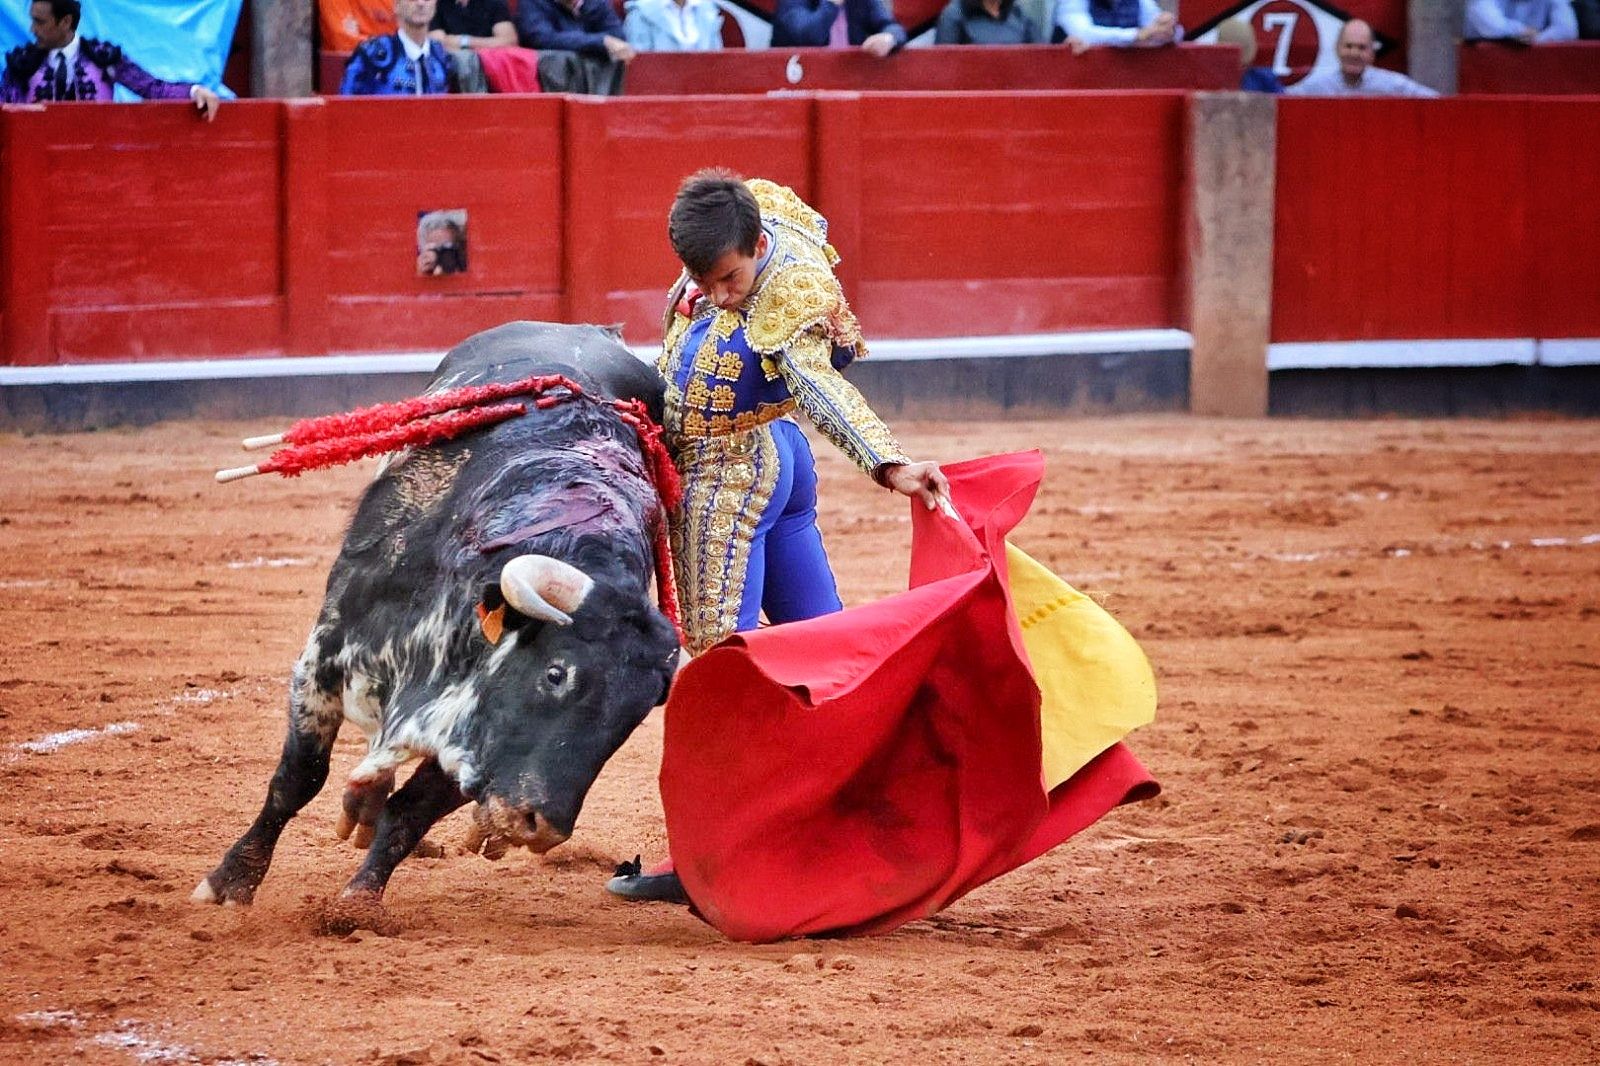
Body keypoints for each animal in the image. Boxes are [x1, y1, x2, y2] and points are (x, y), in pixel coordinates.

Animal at [195, 320, 681, 909]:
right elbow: (298, 778)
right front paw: (230, 881)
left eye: (635, 716)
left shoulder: (476, 732)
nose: (538, 826)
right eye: (555, 674)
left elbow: (412, 813)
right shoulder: (322, 659)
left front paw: (359, 904)